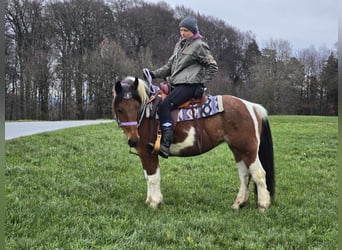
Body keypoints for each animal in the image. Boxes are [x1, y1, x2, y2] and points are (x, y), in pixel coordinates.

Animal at [113, 76, 274, 211]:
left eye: (136, 106)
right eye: (120, 109)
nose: (134, 139)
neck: (147, 113)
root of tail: (251, 106)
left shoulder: (148, 153)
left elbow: (153, 178)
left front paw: (154, 203)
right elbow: (148, 176)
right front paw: (150, 201)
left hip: (249, 150)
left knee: (259, 174)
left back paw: (263, 205)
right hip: (238, 150)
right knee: (244, 175)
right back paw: (238, 203)